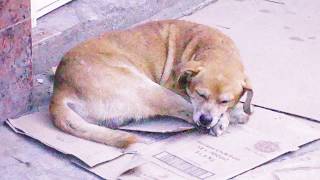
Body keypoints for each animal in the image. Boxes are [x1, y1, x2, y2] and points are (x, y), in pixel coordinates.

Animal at [49, 20, 252, 149]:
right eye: (200, 94)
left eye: (224, 100)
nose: (206, 119)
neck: (213, 47)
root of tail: (59, 92)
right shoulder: (174, 88)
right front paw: (226, 117)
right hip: (152, 90)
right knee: (187, 112)